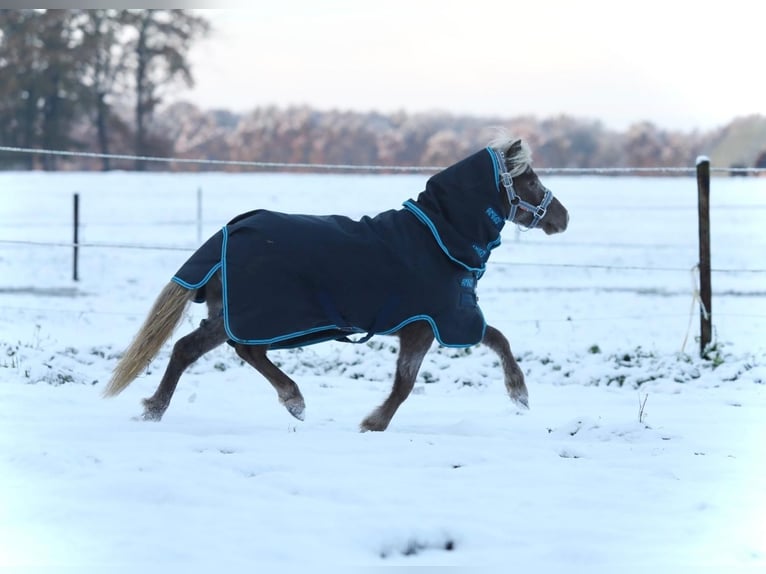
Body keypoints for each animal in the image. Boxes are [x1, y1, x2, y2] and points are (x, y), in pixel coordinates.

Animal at [103, 136, 568, 432]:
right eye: (530, 181)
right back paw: (293, 400)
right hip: (262, 315)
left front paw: (519, 394)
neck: (439, 237)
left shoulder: (443, 320)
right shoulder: (429, 323)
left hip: (231, 315)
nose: (562, 217)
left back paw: (155, 409)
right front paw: (373, 423)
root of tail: (227, 232)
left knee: (191, 348)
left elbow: (496, 340)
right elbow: (408, 383)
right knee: (244, 350)